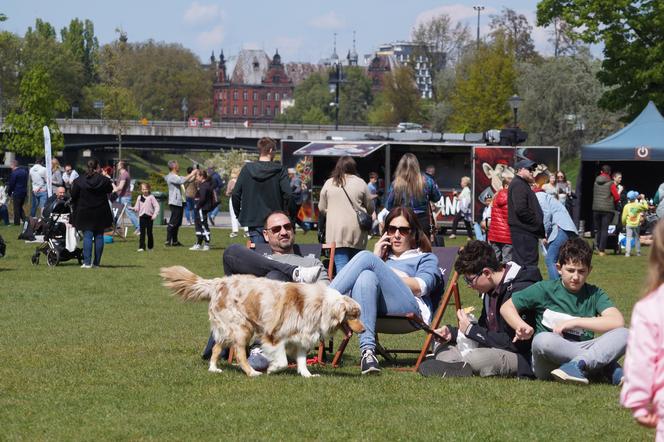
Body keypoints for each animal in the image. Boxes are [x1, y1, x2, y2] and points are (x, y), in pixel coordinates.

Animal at [161, 266, 366, 376]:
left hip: (228, 330)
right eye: (354, 315)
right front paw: (272, 369)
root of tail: (218, 282)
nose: (364, 330)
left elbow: (301, 361)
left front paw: (308, 375)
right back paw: (252, 373)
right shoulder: (273, 336)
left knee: (217, 348)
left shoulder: (301, 337)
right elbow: (282, 361)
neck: (320, 305)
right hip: (243, 329)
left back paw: (214, 369)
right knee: (239, 354)